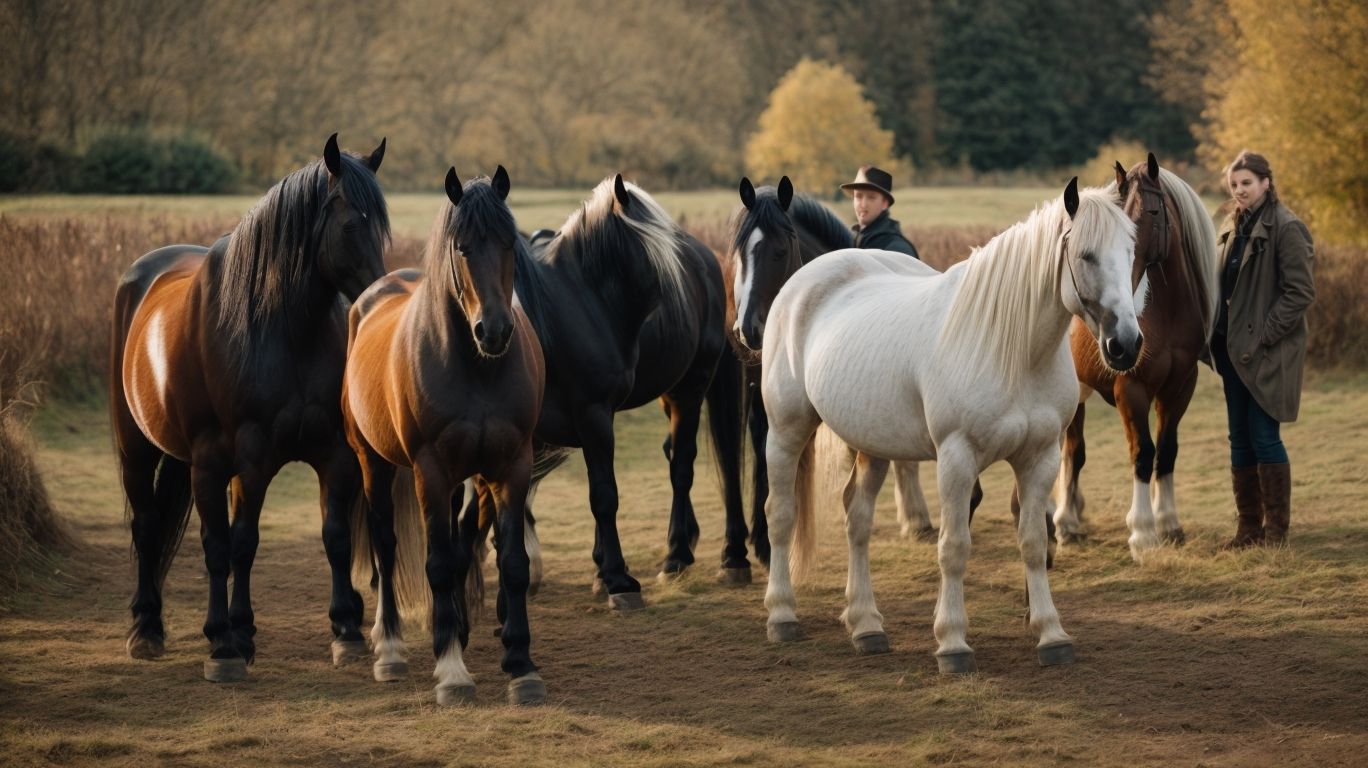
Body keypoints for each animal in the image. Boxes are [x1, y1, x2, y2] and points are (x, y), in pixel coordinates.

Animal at [109, 134, 389, 681]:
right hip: (141, 451)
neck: (282, 332)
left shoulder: (333, 455)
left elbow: (333, 536)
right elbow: (227, 546)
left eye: (383, 224)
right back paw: (146, 628)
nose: (378, 293)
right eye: (351, 224)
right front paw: (222, 641)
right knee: (148, 526)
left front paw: (345, 630)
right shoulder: (237, 460)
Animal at [342, 166, 546, 706]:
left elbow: (511, 561)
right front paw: (452, 671)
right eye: (462, 247)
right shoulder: (430, 472)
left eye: (509, 243)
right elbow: (435, 564)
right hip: (373, 462)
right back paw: (390, 649)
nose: (493, 331)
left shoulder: (511, 467)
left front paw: (521, 665)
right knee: (386, 544)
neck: (477, 370)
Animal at [487, 174, 740, 610]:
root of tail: (708, 258)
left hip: (690, 389)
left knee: (681, 465)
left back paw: (678, 555)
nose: (677, 300)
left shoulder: (592, 414)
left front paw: (618, 579)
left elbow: (604, 496)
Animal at [760, 178, 1141, 671]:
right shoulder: (957, 459)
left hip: (873, 445)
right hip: (786, 430)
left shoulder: (1039, 457)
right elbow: (954, 547)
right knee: (781, 514)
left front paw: (1051, 634)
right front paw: (953, 643)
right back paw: (782, 616)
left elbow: (1034, 541)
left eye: (1131, 250)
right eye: (1087, 255)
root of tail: (802, 282)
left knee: (857, 521)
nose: (1125, 345)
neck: (1012, 350)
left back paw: (866, 625)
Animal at [1054, 154, 1218, 559]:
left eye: (1153, 213)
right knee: (1072, 452)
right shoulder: (1132, 390)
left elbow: (1167, 451)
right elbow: (1142, 453)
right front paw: (1143, 532)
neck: (1164, 312)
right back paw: (1065, 523)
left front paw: (1169, 523)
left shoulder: (1180, 387)